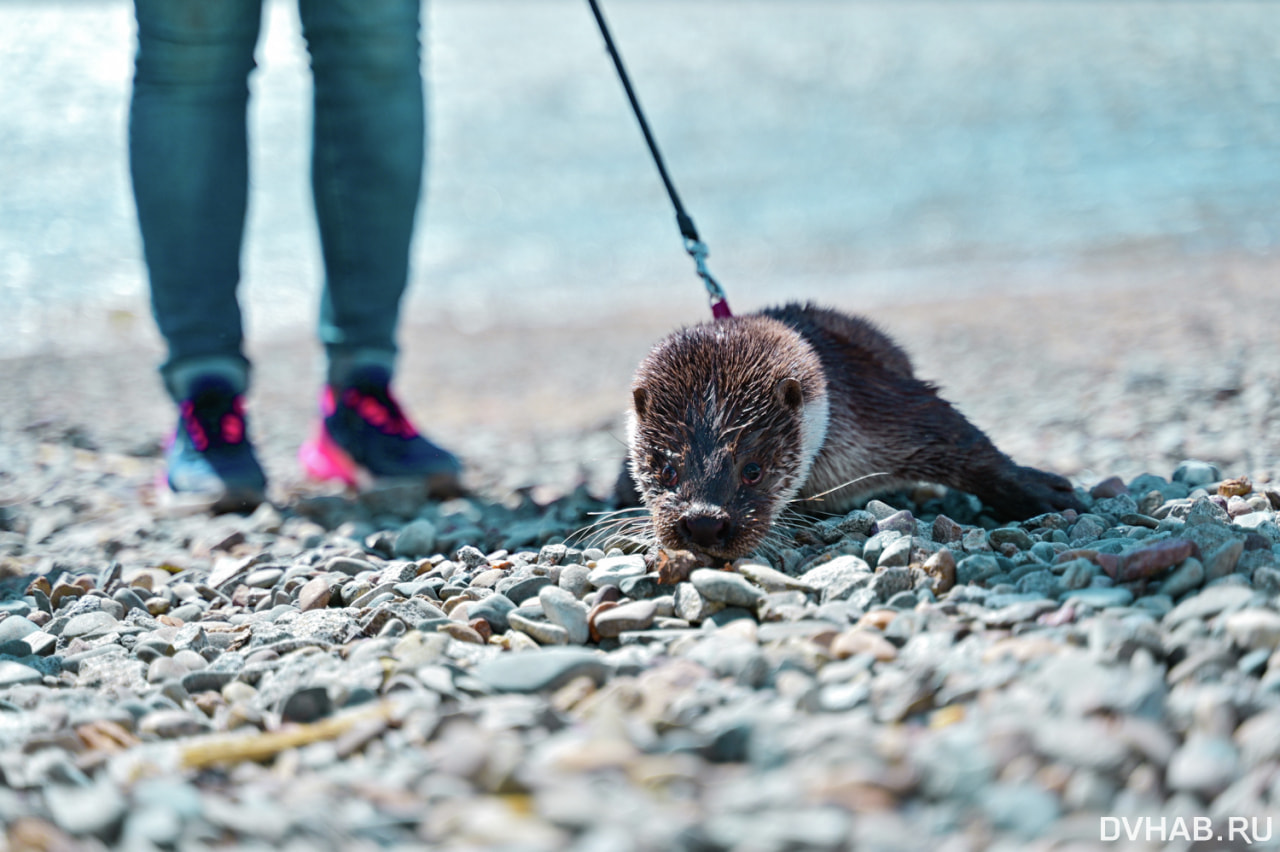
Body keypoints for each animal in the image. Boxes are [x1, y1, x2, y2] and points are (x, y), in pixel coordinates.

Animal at [624, 301, 1085, 560]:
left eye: (752, 469)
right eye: (666, 470)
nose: (704, 522)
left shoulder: (877, 405)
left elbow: (961, 440)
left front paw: (1045, 492)